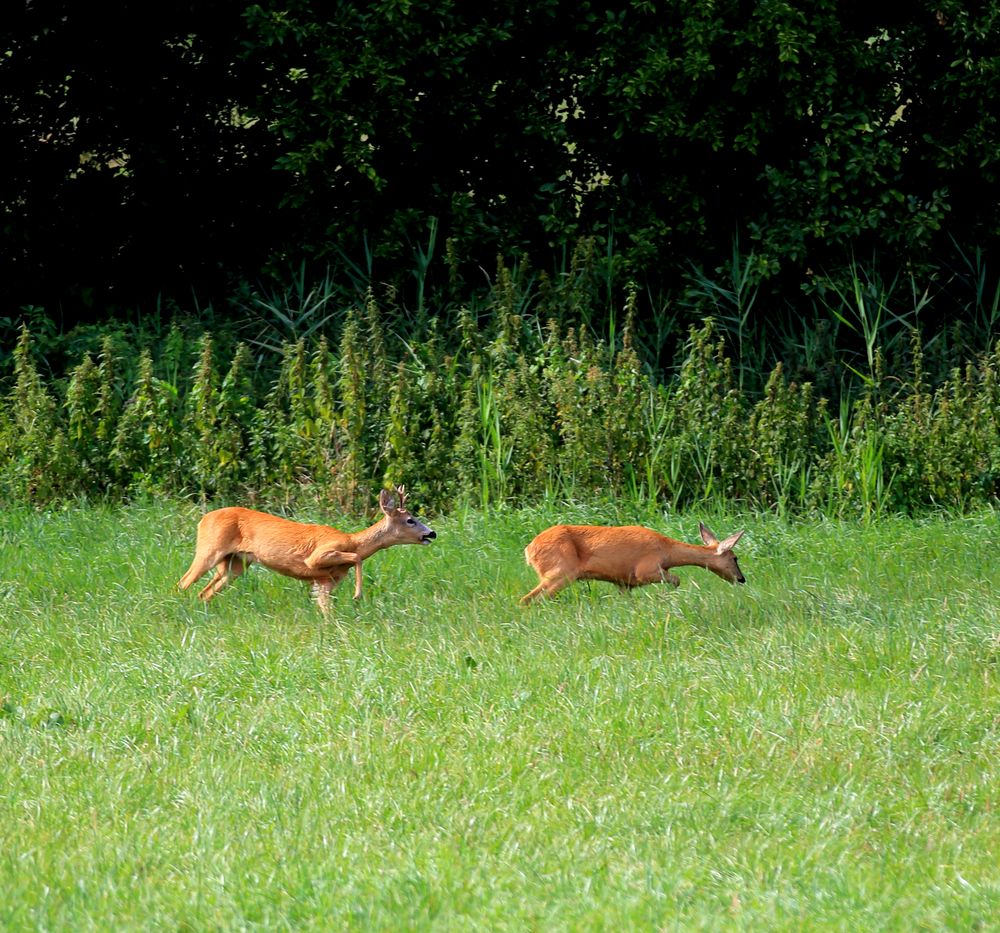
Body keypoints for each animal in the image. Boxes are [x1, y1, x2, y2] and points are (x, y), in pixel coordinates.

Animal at [178, 484, 436, 616]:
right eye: (410, 520)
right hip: (210, 548)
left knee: (205, 592)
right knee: (184, 581)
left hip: (235, 564)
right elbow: (356, 558)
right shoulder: (319, 556)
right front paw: (357, 594)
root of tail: (203, 520)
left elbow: (326, 608)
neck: (352, 540)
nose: (432, 533)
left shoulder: (324, 581)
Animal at [524, 516, 744, 604]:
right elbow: (676, 579)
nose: (742, 579)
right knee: (529, 599)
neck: (667, 552)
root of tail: (529, 549)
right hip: (560, 572)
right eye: (735, 558)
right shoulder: (644, 570)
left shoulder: (624, 582)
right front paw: (666, 598)